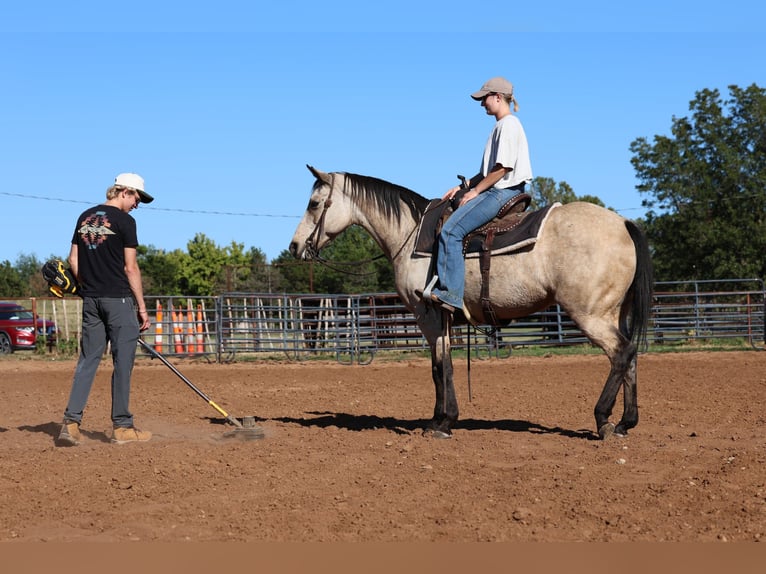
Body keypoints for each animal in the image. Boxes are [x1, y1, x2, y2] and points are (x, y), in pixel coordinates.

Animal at [289, 166, 653, 440]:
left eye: (314, 203)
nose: (294, 246)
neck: (410, 235)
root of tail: (622, 223)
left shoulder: (429, 315)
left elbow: (441, 367)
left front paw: (442, 422)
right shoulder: (443, 319)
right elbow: (441, 367)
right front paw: (440, 419)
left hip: (590, 313)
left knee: (621, 353)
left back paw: (603, 419)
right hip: (612, 312)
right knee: (630, 354)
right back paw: (625, 423)